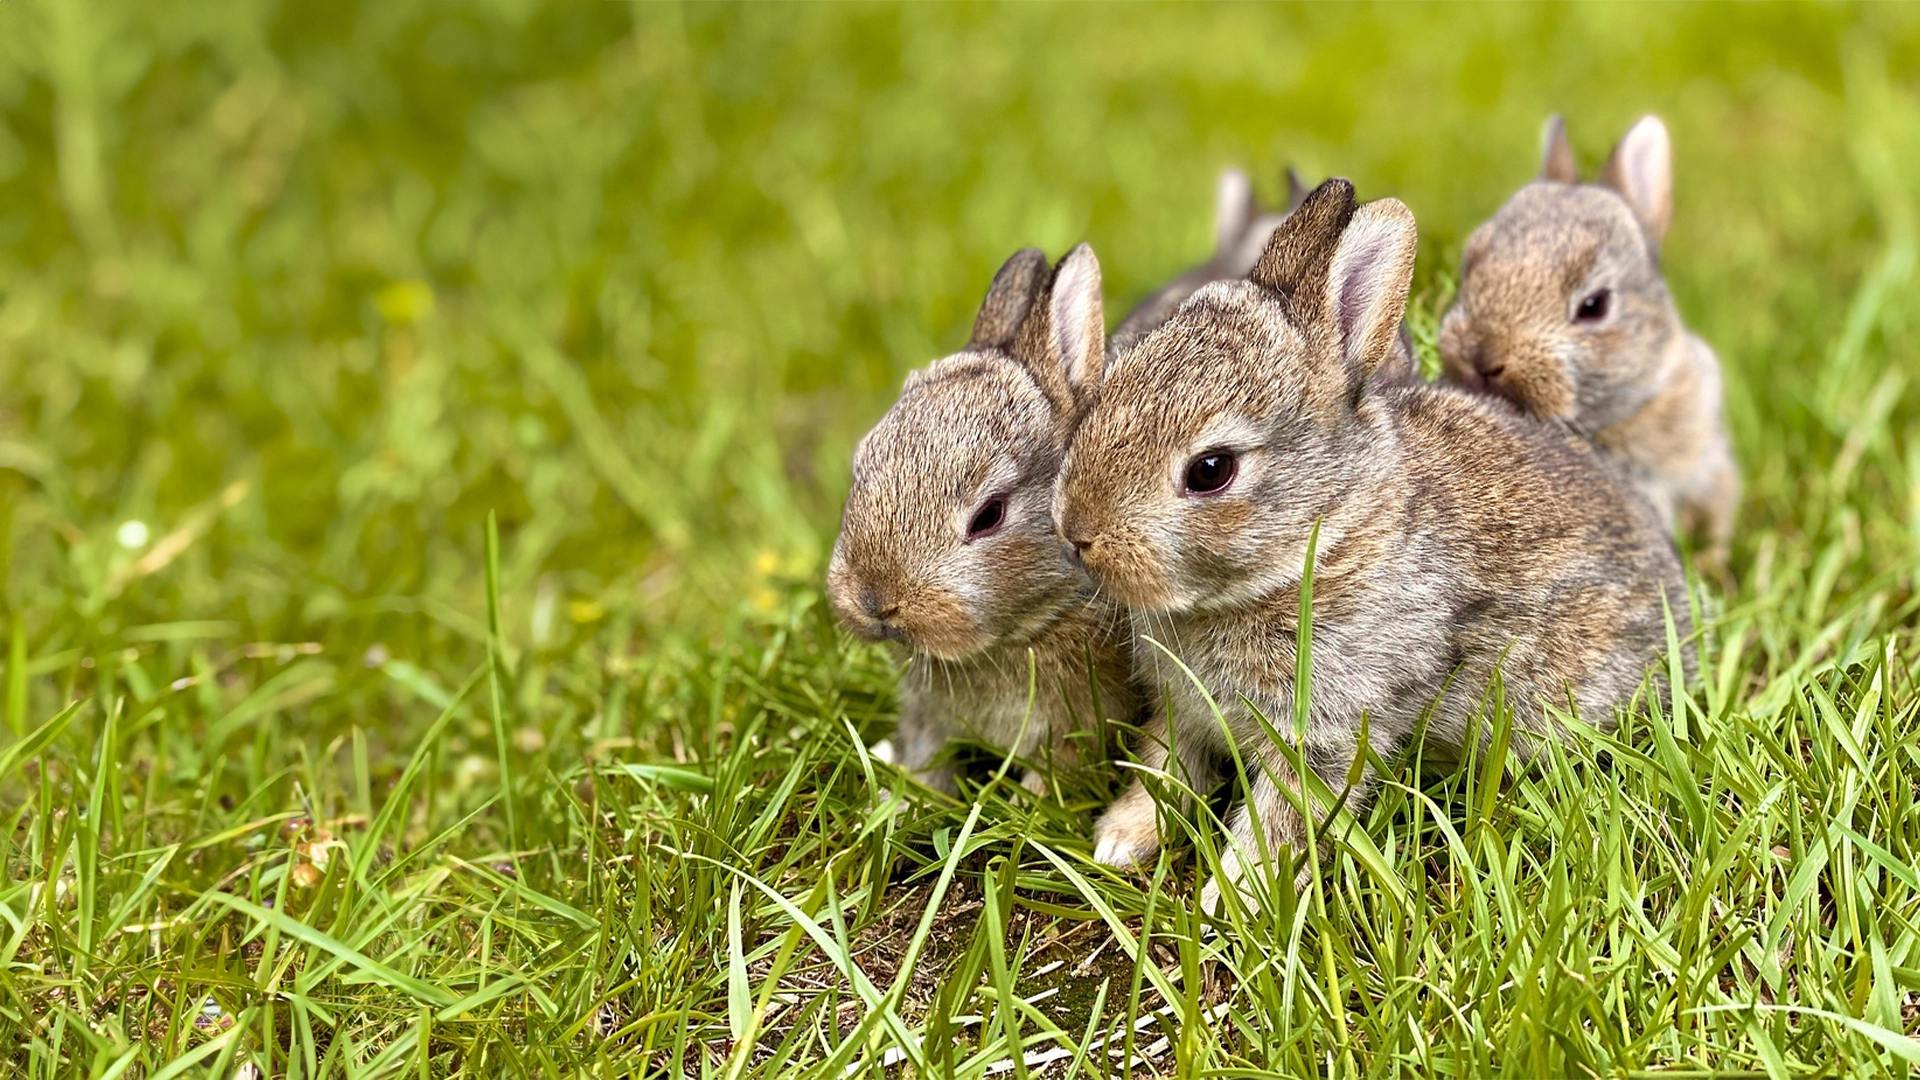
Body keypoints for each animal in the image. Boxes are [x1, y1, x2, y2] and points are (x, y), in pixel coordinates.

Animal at [1044, 176, 1689, 907]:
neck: (1317, 544)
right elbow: (1164, 765)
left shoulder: (1327, 731)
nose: (1076, 532)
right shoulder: (1183, 710)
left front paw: (1229, 901)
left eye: (1211, 470)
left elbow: (1280, 819)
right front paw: (1121, 840)